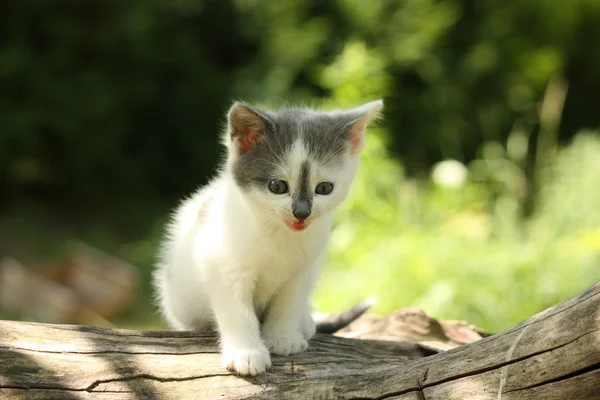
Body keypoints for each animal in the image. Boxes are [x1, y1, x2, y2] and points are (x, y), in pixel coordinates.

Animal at [152, 99, 382, 376]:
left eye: (325, 188)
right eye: (277, 186)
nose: (301, 213)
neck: (278, 235)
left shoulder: (302, 270)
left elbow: (289, 303)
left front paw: (283, 337)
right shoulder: (222, 265)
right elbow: (237, 312)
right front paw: (246, 353)